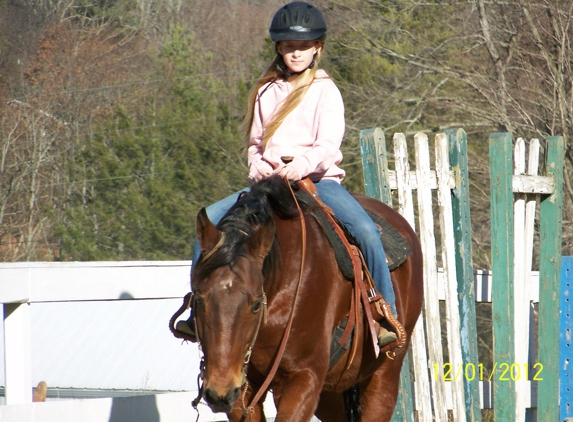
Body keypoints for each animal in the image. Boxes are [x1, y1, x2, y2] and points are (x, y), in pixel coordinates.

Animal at [190, 176, 422, 422]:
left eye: (256, 304)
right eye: (199, 300)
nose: (220, 391)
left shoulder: (303, 377)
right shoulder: (243, 389)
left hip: (383, 377)